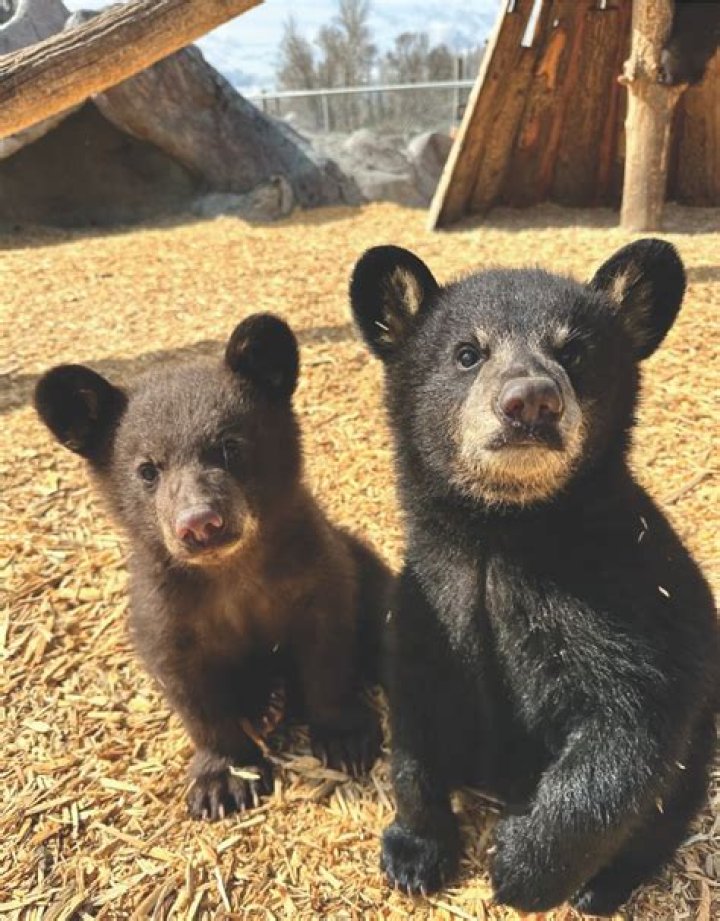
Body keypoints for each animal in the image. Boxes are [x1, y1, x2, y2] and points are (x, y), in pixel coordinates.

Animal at [35, 313, 392, 820]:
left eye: (230, 447)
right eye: (148, 469)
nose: (200, 523)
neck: (232, 573)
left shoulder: (320, 574)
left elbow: (328, 653)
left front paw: (345, 738)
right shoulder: (165, 616)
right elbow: (194, 695)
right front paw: (223, 779)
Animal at [349, 240, 718, 915]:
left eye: (573, 351)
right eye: (467, 353)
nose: (531, 402)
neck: (502, 533)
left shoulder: (626, 597)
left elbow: (632, 727)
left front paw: (519, 865)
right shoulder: (426, 599)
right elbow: (412, 715)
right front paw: (412, 854)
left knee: (668, 805)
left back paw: (603, 885)